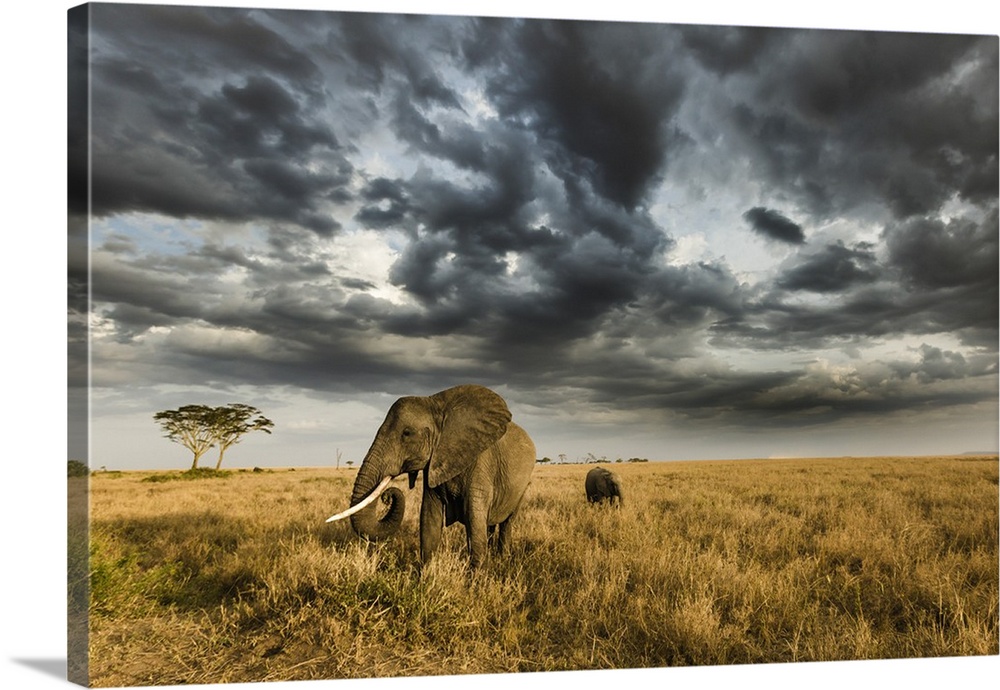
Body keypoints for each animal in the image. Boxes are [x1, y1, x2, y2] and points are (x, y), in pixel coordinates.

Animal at [326, 382, 532, 564]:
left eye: (407, 433)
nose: (387, 495)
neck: (437, 404)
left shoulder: (481, 462)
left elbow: (474, 525)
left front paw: (476, 581)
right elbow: (429, 520)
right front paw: (425, 577)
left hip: (523, 487)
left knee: (506, 524)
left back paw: (502, 559)